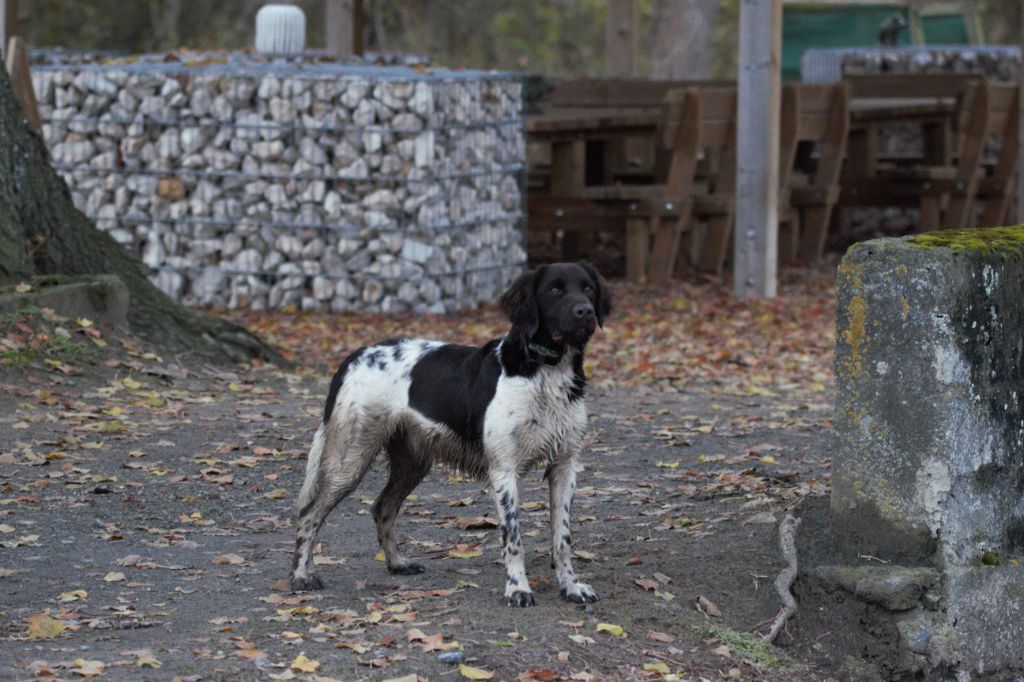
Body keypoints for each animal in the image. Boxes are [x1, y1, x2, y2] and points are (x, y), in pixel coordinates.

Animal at [288, 260, 606, 606]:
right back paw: (301, 576)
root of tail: (355, 356)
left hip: (411, 463)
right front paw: (517, 588)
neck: (546, 372)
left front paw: (571, 586)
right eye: (554, 290)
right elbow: (513, 538)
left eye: (588, 288)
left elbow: (562, 538)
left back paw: (397, 563)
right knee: (308, 513)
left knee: (382, 508)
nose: (585, 311)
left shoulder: (565, 466)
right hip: (351, 458)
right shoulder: (504, 470)